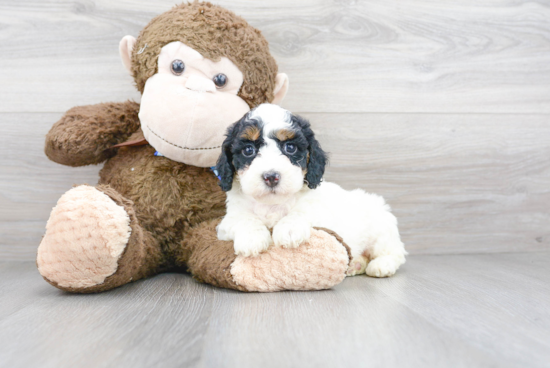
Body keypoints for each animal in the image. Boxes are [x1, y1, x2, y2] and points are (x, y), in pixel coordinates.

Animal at [218, 103, 408, 276]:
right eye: (248, 150)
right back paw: (356, 264)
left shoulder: (320, 214)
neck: (273, 204)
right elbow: (243, 219)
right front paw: (252, 238)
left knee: (395, 251)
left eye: (290, 148)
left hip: (381, 229)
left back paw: (382, 265)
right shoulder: (227, 222)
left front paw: (289, 229)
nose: (271, 177)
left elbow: (302, 212)